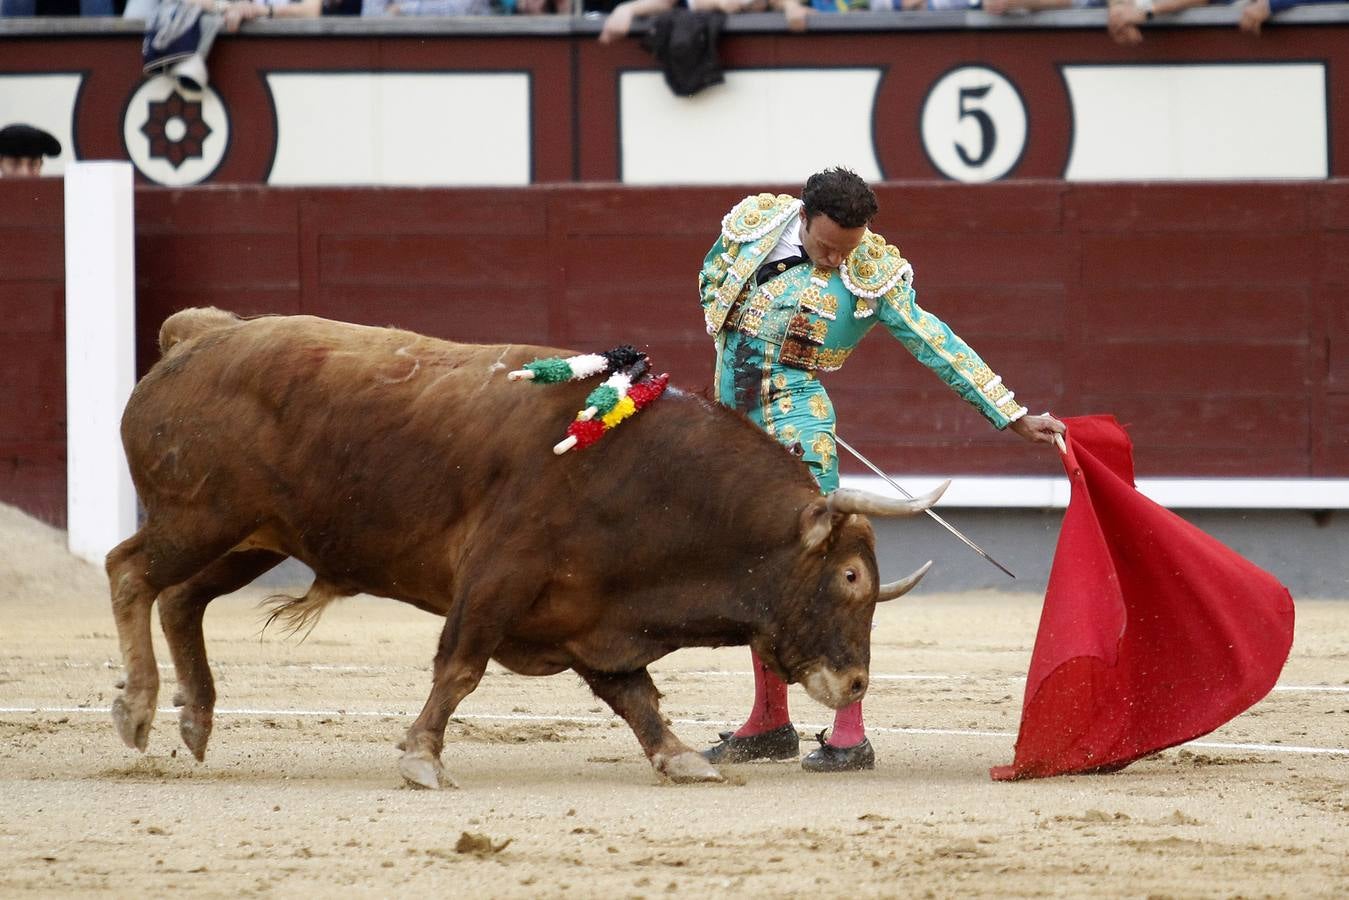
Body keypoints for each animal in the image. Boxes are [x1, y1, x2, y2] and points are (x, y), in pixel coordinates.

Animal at [110, 310, 944, 788]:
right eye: (848, 576)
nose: (857, 683)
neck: (647, 479)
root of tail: (197, 336)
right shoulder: (496, 578)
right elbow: (460, 668)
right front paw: (421, 758)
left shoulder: (592, 620)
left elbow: (636, 696)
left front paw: (678, 757)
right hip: (202, 517)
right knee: (129, 573)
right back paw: (141, 709)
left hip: (249, 535)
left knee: (180, 598)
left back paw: (195, 719)